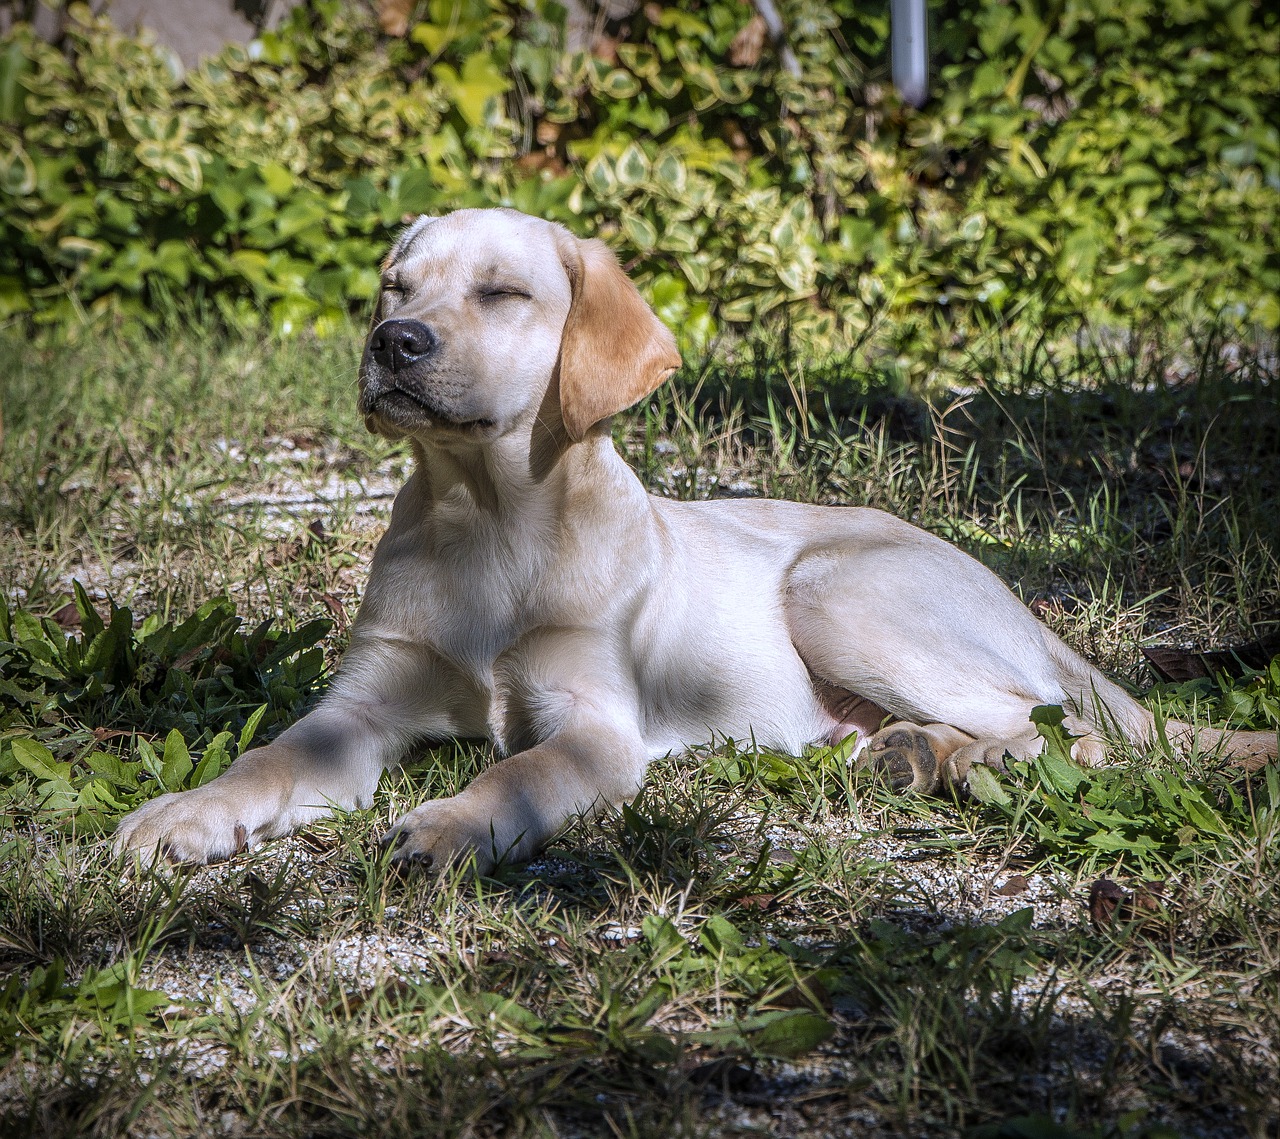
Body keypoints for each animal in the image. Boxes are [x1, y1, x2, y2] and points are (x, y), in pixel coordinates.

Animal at [115, 208, 1274, 865]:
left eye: (500, 293)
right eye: (394, 288)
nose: (392, 342)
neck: (486, 516)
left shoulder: (593, 724)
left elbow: (513, 775)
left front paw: (449, 823)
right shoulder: (357, 705)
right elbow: (269, 755)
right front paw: (187, 812)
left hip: (836, 591)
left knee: (1068, 731)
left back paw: (958, 753)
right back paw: (913, 753)